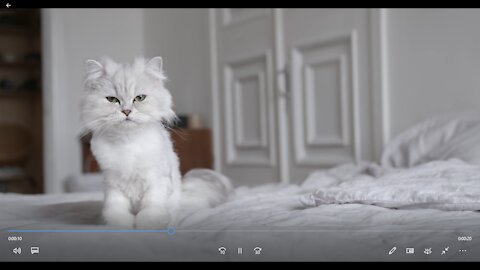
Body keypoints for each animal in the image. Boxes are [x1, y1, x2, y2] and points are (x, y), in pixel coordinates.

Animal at [80, 56, 232, 228]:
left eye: (139, 98)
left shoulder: (156, 181)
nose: (126, 111)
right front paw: (122, 226)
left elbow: (151, 208)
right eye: (112, 99)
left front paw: (149, 224)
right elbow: (117, 210)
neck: (128, 141)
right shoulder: (113, 184)